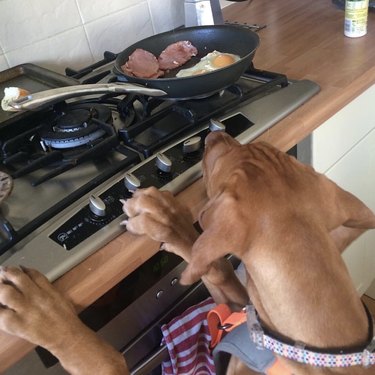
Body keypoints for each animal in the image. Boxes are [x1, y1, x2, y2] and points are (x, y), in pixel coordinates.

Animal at [0, 132, 375, 375]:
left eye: (222, 162)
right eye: (256, 146)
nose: (215, 132)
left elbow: (97, 356)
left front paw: (40, 312)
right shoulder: (242, 305)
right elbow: (212, 263)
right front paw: (166, 219)